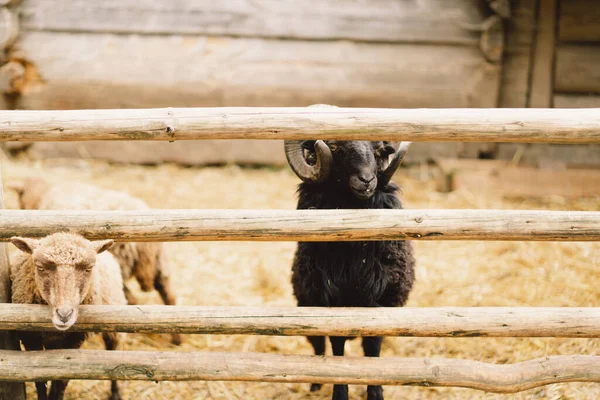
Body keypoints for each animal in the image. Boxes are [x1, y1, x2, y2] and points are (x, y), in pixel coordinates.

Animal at [10, 177, 180, 346]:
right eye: (40, 267)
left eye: (88, 268)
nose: (64, 314)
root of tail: (145, 246)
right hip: (159, 263)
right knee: (168, 295)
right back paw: (176, 338)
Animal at [10, 233, 125, 398]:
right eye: (40, 267)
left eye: (88, 269)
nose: (64, 315)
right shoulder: (30, 338)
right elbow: (40, 380)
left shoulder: (75, 339)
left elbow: (63, 378)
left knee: (113, 349)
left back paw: (116, 393)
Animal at [284, 138, 414, 400]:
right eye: (334, 147)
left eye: (379, 150)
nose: (366, 180)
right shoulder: (329, 302)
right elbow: (336, 347)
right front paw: (339, 392)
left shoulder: (384, 301)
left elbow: (373, 348)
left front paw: (376, 393)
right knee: (318, 347)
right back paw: (315, 385)